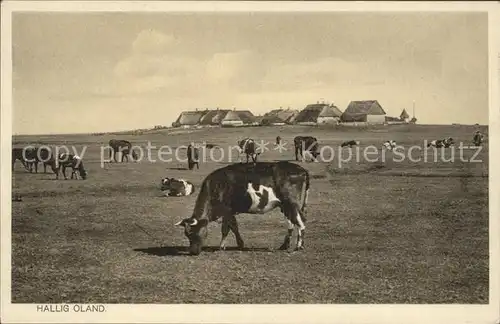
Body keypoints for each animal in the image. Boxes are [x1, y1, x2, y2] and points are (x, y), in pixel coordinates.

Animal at [174, 162, 310, 256]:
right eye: (187, 234)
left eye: (194, 233)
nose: (192, 252)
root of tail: (301, 169)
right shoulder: (228, 212)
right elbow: (232, 227)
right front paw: (237, 244)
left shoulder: (227, 210)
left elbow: (227, 229)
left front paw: (222, 247)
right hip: (285, 206)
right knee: (292, 223)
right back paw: (285, 245)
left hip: (292, 203)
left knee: (301, 223)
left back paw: (298, 247)